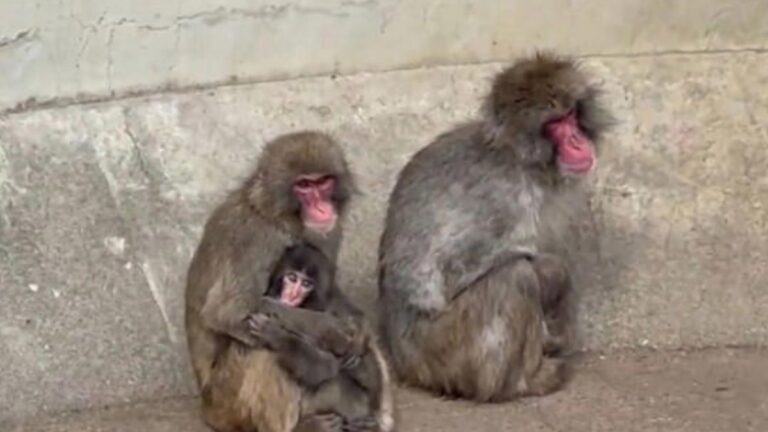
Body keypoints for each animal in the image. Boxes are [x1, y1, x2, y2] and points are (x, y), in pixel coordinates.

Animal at [249, 242, 389, 431]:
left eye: (306, 284)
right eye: (292, 278)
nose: (292, 295)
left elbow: (324, 365)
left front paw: (276, 334)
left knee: (337, 383)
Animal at [377, 52, 614, 402]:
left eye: (571, 115)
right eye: (554, 124)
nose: (577, 140)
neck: (521, 159)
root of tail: (404, 364)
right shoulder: (506, 197)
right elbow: (442, 273)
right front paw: (556, 280)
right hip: (444, 352)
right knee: (515, 276)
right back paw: (519, 383)